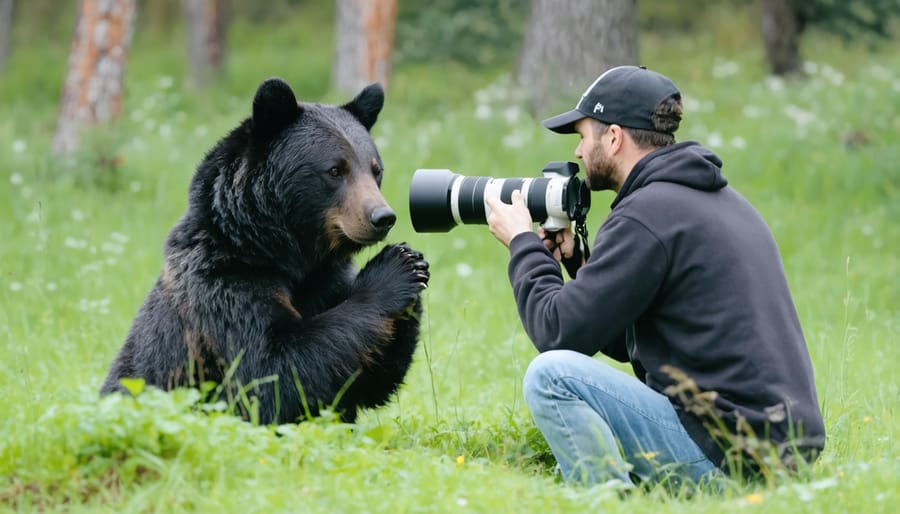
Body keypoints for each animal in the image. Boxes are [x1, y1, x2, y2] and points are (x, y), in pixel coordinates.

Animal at [100, 78, 430, 425]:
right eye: (335, 170)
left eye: (375, 169)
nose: (383, 217)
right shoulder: (226, 283)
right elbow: (272, 369)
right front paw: (395, 269)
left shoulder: (327, 280)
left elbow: (367, 376)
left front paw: (414, 268)